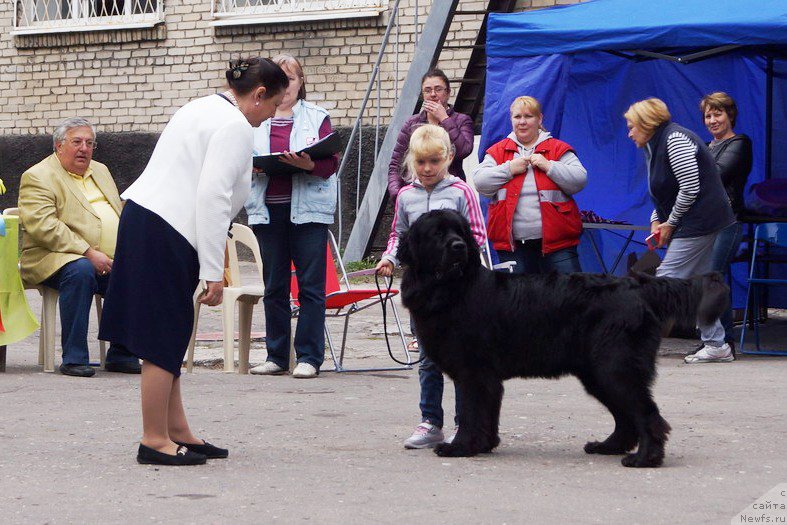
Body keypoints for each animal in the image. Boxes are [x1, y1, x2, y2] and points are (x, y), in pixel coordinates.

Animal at [404, 209, 728, 466]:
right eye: (437, 233)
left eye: (459, 232)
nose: (459, 246)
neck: (453, 288)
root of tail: (637, 286)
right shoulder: (485, 377)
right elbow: (486, 414)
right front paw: (483, 445)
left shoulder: (475, 373)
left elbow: (471, 412)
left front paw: (460, 447)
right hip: (597, 373)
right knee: (625, 417)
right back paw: (608, 446)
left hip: (613, 367)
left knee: (647, 414)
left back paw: (644, 458)